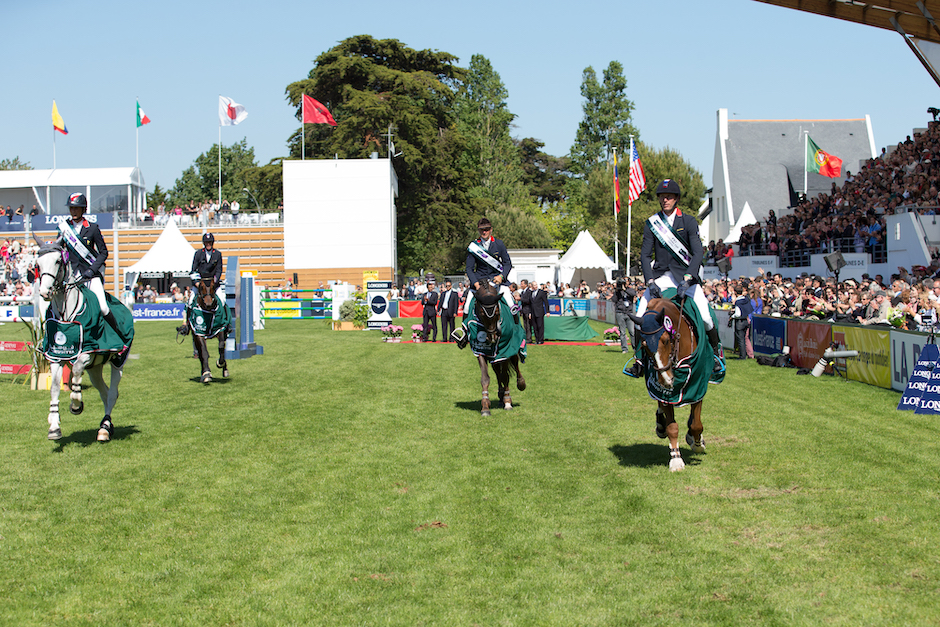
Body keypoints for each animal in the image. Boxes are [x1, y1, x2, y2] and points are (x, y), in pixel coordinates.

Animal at [35, 240, 132, 442]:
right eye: (38, 264)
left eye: (58, 261)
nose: (45, 292)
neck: (66, 313)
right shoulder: (55, 356)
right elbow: (54, 388)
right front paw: (54, 426)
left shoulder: (88, 351)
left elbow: (77, 370)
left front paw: (76, 405)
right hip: (95, 368)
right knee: (104, 392)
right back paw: (107, 426)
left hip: (117, 362)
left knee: (112, 393)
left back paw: (104, 428)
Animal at [466, 284, 524, 418]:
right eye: (482, 313)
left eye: (497, 312)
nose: (492, 337)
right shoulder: (480, 352)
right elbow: (485, 378)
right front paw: (485, 407)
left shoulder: (505, 351)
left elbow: (505, 376)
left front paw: (508, 402)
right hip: (493, 358)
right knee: (497, 372)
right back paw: (500, 396)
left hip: (512, 349)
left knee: (515, 364)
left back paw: (520, 384)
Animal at [628, 298, 708, 472]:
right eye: (643, 345)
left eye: (665, 340)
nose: (666, 379)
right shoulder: (664, 393)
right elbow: (672, 427)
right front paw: (676, 459)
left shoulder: (697, 387)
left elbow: (697, 424)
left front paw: (698, 443)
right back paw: (660, 425)